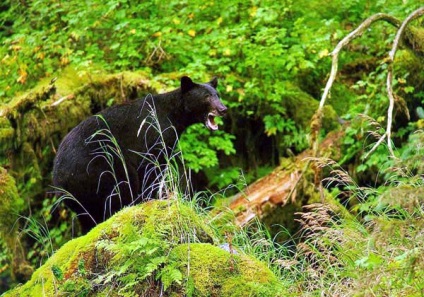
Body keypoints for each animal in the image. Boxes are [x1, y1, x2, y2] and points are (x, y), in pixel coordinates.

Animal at [53, 76, 227, 231]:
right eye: (206, 96)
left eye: (217, 95)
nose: (223, 109)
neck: (174, 115)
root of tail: (57, 175)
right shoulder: (153, 135)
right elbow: (152, 168)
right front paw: (155, 198)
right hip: (98, 169)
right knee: (119, 189)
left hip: (79, 194)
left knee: (88, 215)